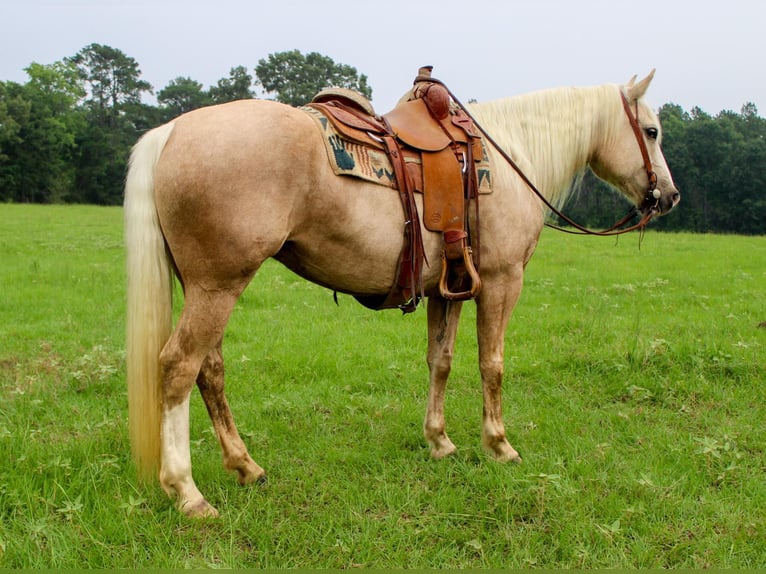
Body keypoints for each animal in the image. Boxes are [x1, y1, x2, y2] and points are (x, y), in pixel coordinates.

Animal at [124, 70, 680, 517]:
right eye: (651, 131)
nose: (669, 196)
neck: (512, 156)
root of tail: (173, 131)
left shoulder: (448, 289)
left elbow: (441, 361)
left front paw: (440, 441)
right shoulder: (501, 282)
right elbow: (492, 364)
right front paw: (499, 446)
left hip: (205, 286)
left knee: (209, 370)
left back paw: (246, 467)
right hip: (218, 285)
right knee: (179, 367)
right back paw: (188, 492)